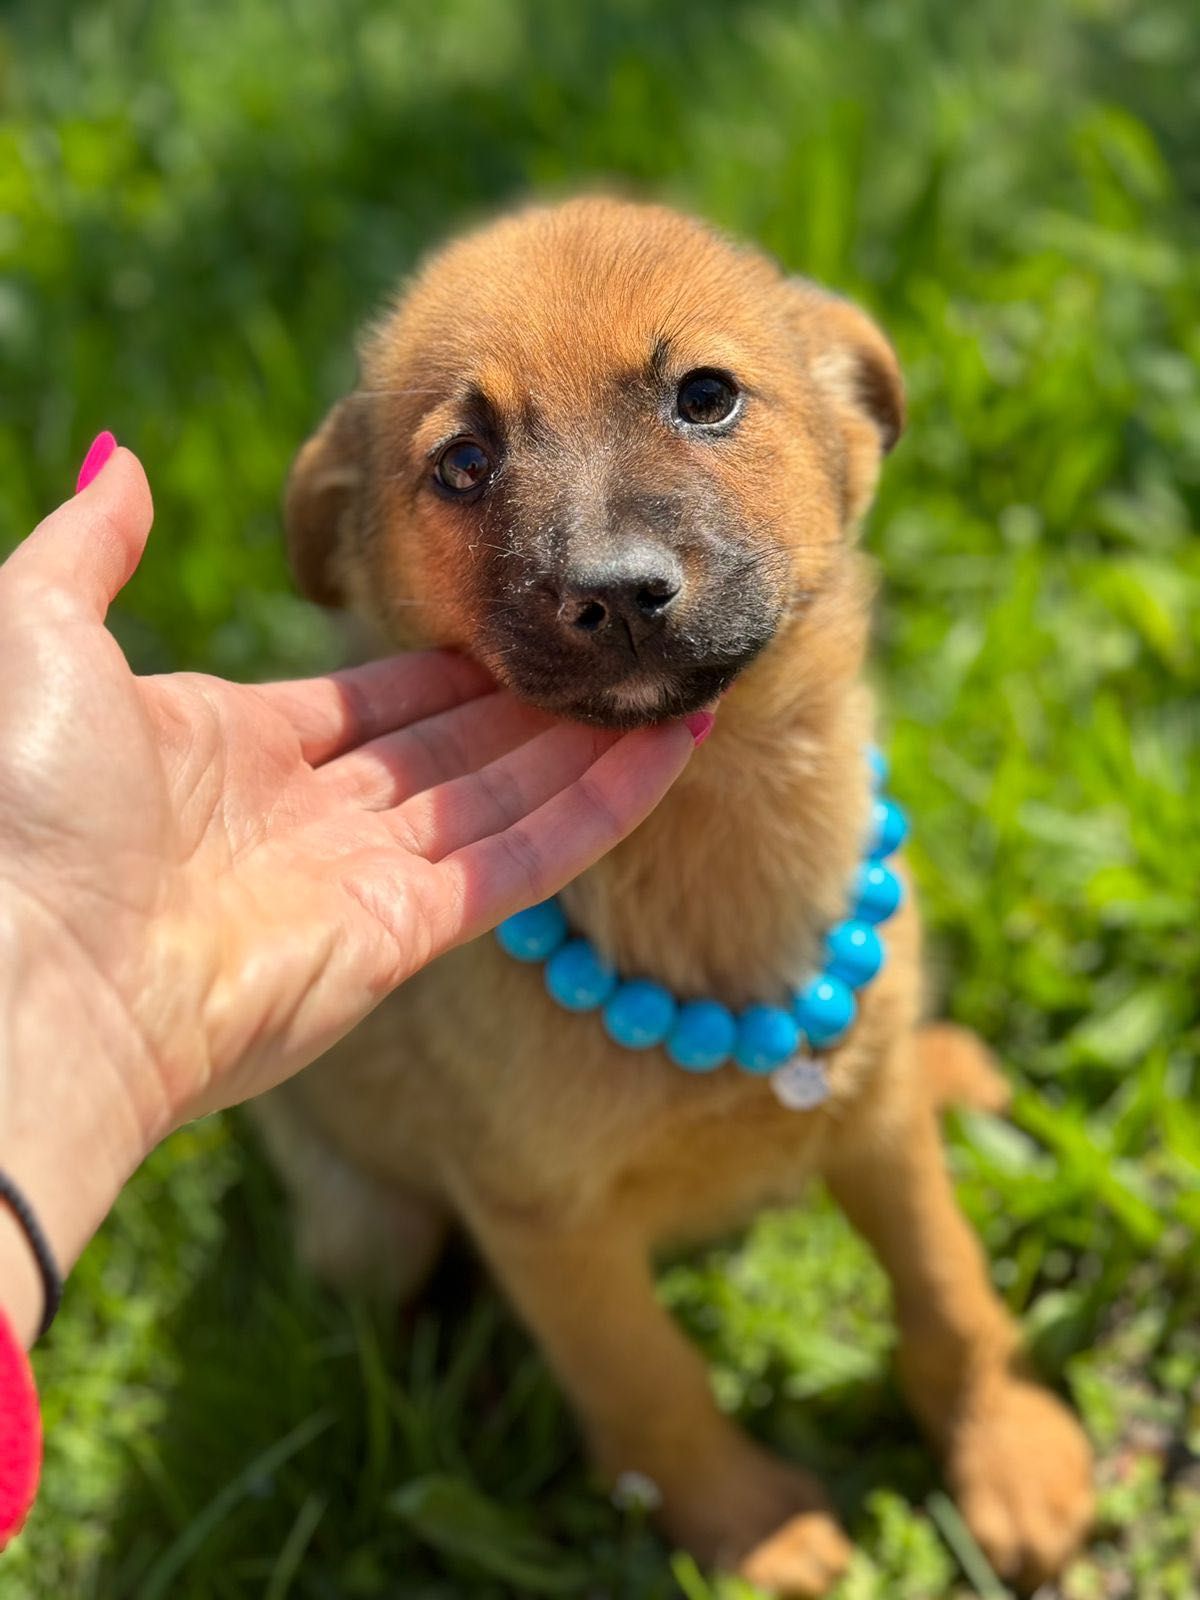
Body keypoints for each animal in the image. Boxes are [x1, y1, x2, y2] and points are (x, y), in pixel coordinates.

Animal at [256, 193, 1100, 1593]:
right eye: (464, 463)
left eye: (706, 395)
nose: (615, 594)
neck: (705, 835)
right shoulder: (545, 1220)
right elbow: (648, 1380)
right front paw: (746, 1525)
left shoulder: (873, 1128)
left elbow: (947, 1287)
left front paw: (1007, 1447)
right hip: (368, 1230)